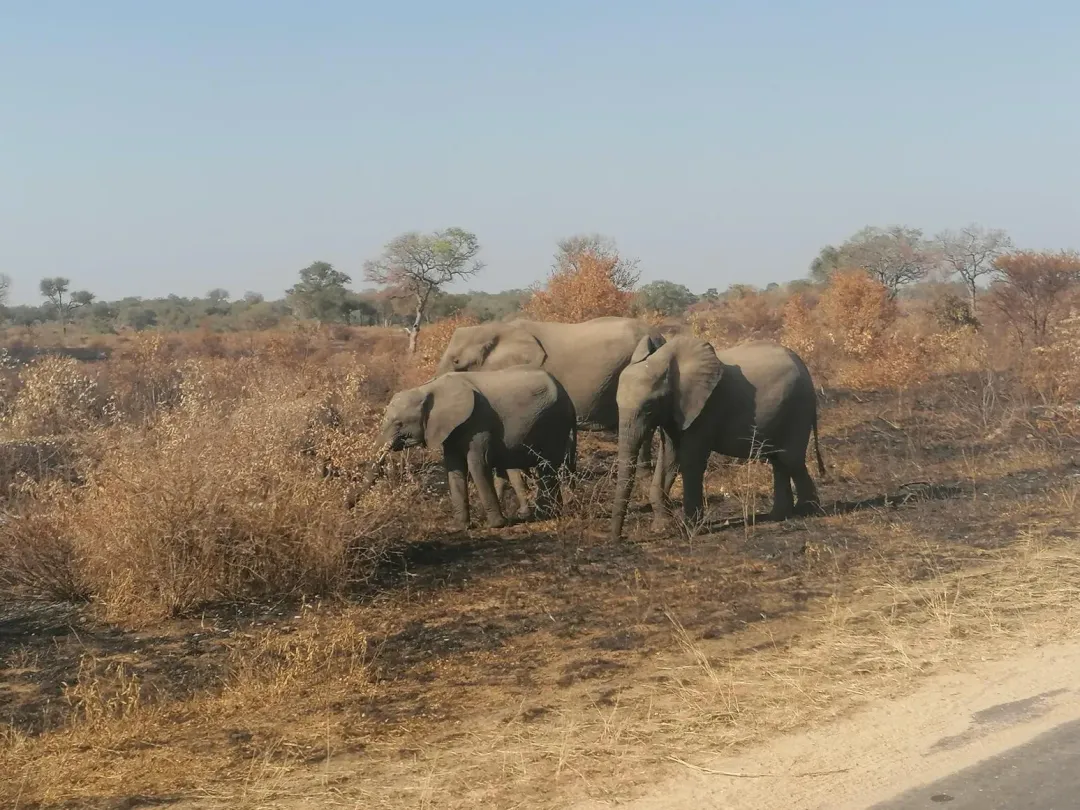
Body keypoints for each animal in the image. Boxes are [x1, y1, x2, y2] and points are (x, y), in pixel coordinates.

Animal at [379, 368, 577, 530]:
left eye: (399, 423)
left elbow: (477, 464)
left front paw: (496, 525)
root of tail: (568, 396)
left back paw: (545, 514)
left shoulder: (478, 422)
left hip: (553, 421)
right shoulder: (451, 428)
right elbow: (454, 468)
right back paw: (551, 512)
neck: (429, 388)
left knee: (547, 465)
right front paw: (458, 528)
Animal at [609, 335, 826, 540]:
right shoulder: (674, 412)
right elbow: (669, 459)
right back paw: (779, 515)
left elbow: (690, 461)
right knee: (778, 459)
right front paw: (662, 527)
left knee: (790, 459)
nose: (620, 538)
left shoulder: (705, 410)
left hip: (798, 407)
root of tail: (805, 367)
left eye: (648, 407)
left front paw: (690, 530)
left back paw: (807, 511)